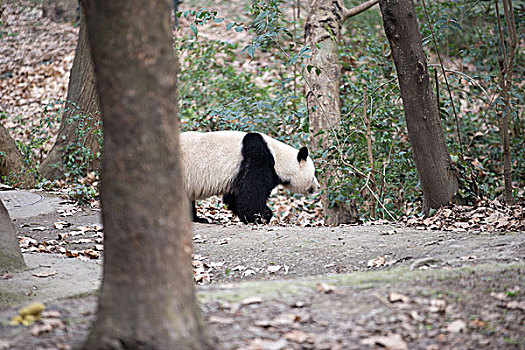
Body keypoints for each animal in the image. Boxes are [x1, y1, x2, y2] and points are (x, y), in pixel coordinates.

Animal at [180, 130, 320, 223]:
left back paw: (197, 219)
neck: (277, 157)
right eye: (313, 175)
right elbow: (250, 195)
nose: (317, 187)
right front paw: (261, 216)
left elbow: (234, 197)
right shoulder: (257, 161)